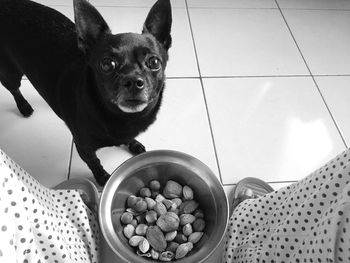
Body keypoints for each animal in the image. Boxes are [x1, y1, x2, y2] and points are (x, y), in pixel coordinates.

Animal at [0, 0, 172, 186]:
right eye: (107, 64)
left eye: (154, 62)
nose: (133, 81)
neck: (124, 118)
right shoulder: (84, 148)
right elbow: (94, 163)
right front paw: (103, 178)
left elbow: (129, 138)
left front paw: (133, 144)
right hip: (10, 73)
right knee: (14, 89)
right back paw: (23, 106)